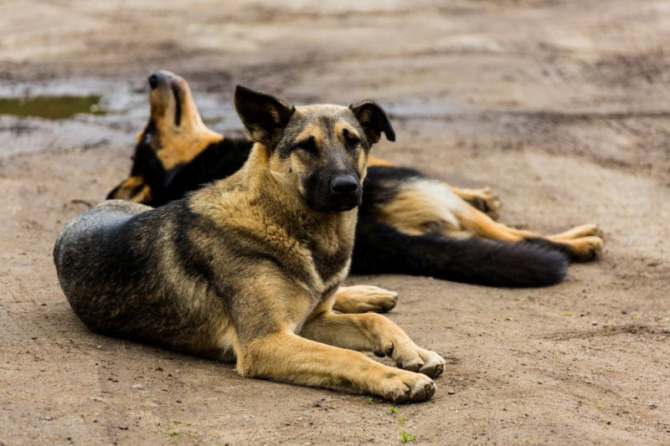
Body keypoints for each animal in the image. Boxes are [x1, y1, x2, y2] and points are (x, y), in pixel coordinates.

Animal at [55, 85, 447, 403]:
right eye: (306, 146)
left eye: (353, 141)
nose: (347, 187)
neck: (281, 218)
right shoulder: (267, 341)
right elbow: (348, 356)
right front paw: (396, 377)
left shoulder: (310, 322)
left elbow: (371, 322)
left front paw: (413, 351)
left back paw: (366, 294)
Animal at [108, 71, 605, 288]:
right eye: (148, 134)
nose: (152, 75)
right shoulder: (398, 172)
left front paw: (482, 191)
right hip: (423, 191)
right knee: (512, 236)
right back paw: (579, 241)